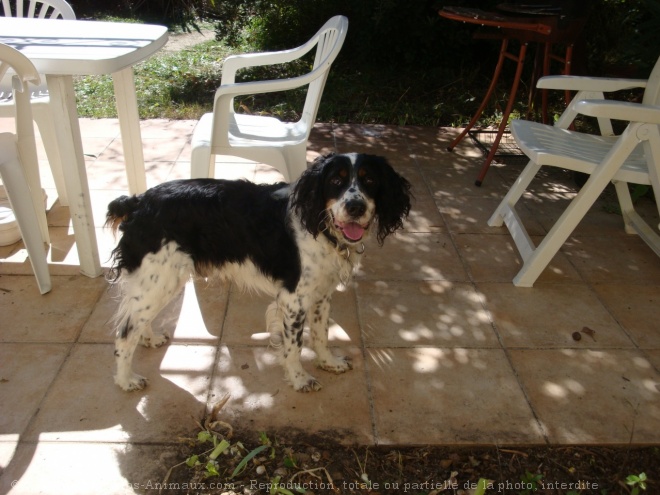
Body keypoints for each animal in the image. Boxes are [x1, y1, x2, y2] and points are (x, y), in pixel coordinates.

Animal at [105, 153, 410, 394]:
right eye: (336, 181)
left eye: (370, 180)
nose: (355, 207)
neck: (319, 224)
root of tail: (138, 202)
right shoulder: (293, 299)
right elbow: (295, 345)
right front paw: (299, 379)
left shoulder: (322, 293)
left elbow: (321, 334)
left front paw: (329, 362)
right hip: (161, 279)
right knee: (124, 333)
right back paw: (125, 380)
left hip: (156, 283)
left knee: (137, 319)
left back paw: (150, 339)